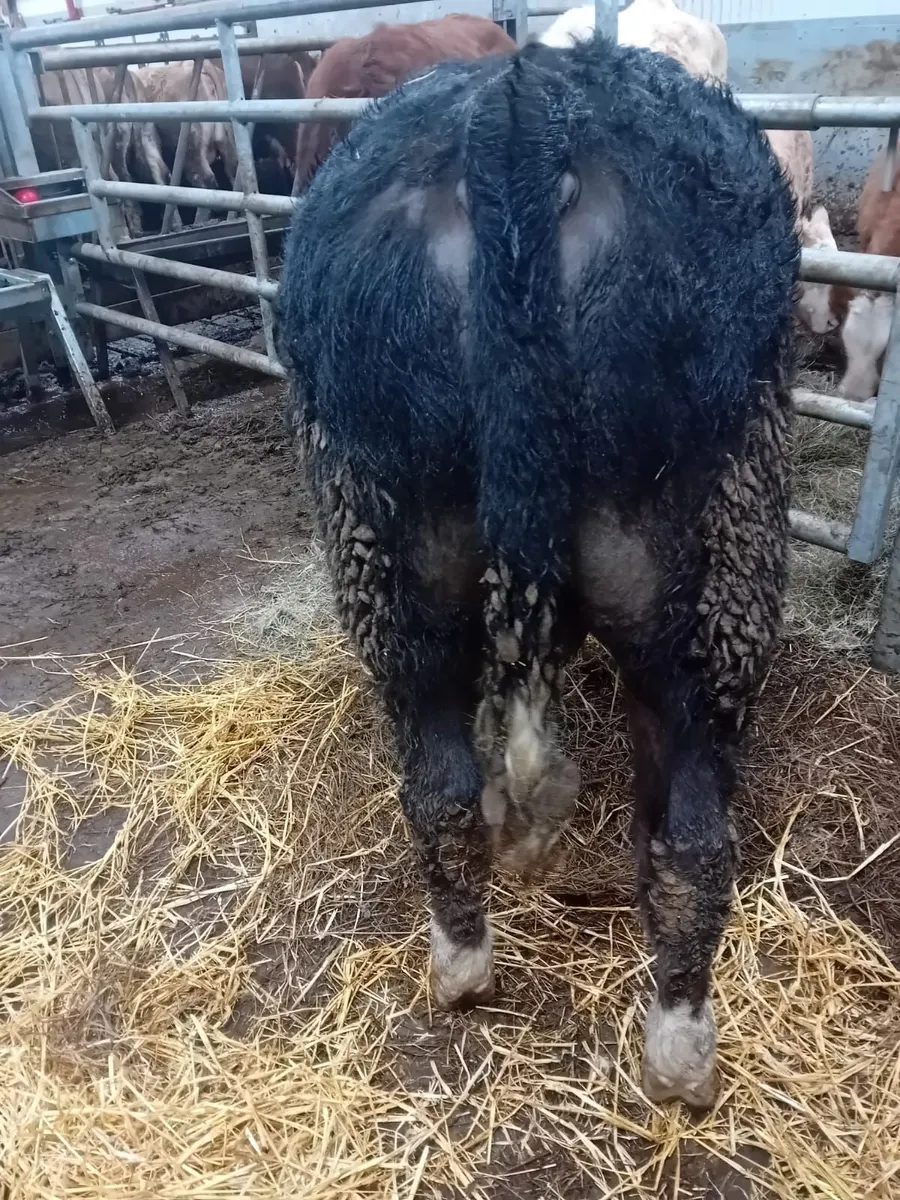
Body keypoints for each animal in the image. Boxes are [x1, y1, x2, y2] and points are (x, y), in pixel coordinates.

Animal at [277, 36, 797, 1108]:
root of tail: (518, 113)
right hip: (716, 546)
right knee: (694, 831)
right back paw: (681, 1053)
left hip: (390, 542)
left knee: (438, 787)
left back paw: (463, 968)